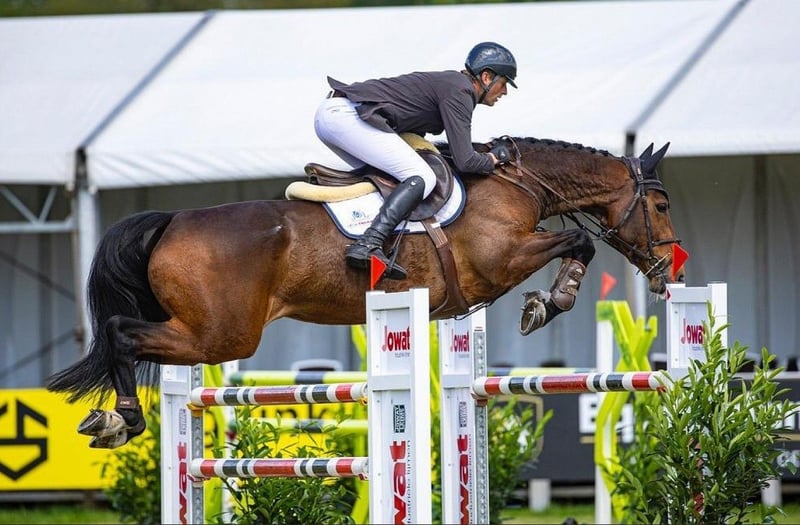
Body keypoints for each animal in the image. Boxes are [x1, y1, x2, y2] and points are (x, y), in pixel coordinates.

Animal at [46, 136, 683, 448]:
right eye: (659, 204)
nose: (668, 271)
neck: (511, 182)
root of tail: (172, 220)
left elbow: (577, 240)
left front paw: (547, 301)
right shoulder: (502, 260)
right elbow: (578, 241)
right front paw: (548, 303)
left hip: (208, 332)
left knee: (123, 336)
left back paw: (113, 420)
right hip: (221, 335)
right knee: (121, 333)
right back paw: (122, 420)